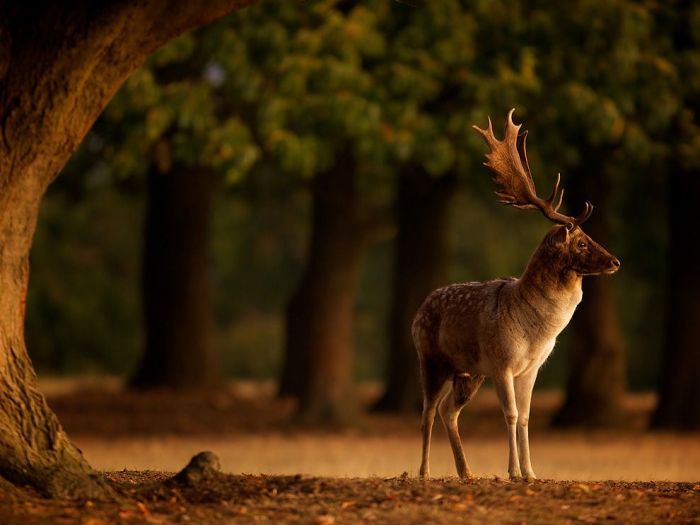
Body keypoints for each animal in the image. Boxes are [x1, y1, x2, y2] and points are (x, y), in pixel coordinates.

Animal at [412, 109, 620, 478]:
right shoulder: (502, 362)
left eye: (590, 237)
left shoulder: (531, 368)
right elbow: (509, 415)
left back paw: (466, 472)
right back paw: (423, 472)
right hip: (432, 358)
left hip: (469, 371)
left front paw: (531, 472)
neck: (536, 333)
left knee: (449, 410)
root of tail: (417, 311)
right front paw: (512, 471)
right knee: (427, 413)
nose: (615, 261)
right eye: (581, 242)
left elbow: (524, 418)